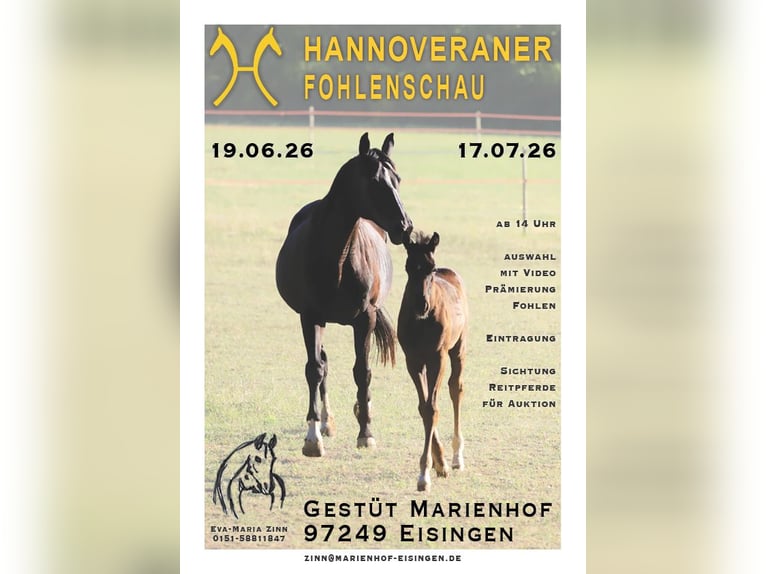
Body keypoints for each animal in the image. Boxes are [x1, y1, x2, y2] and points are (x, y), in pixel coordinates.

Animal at [275, 132, 413, 457]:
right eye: (375, 181)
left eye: (397, 179)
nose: (405, 227)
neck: (335, 257)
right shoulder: (310, 317)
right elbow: (315, 369)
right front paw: (313, 437)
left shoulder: (365, 318)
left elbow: (362, 372)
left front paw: (366, 433)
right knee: (323, 364)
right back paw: (326, 421)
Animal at [397, 230, 468, 491]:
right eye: (408, 266)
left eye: (431, 267)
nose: (421, 305)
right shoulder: (413, 360)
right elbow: (424, 407)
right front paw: (436, 465)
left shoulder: (438, 357)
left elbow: (432, 407)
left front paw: (426, 472)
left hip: (458, 348)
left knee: (456, 387)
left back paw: (457, 456)